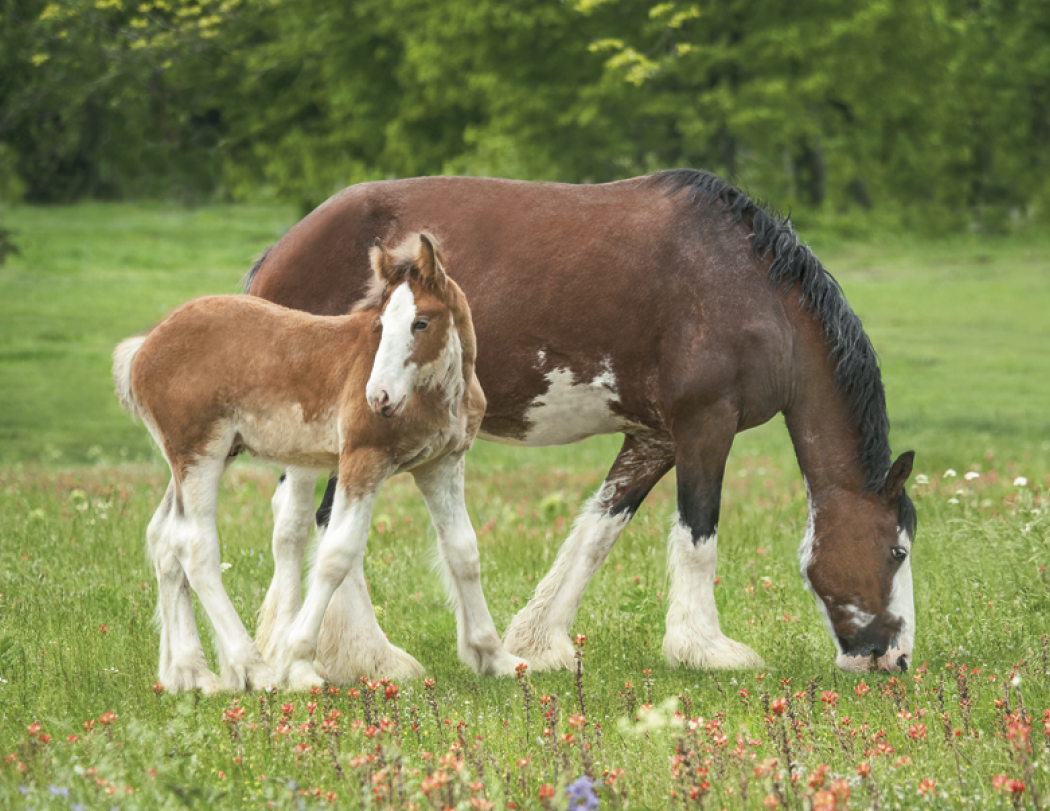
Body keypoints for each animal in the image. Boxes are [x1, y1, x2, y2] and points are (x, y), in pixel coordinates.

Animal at [114, 232, 523, 692]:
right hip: (201, 454)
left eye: (421, 323)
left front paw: (496, 657)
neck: (438, 393)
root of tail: (143, 347)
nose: (378, 397)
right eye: (381, 324)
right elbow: (336, 555)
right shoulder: (363, 460)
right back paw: (255, 670)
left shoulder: (441, 465)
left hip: (202, 459)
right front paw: (299, 665)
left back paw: (191, 675)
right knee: (194, 547)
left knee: (163, 537)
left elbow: (463, 550)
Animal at [245, 169, 918, 675]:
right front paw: (704, 649)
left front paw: (537, 642)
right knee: (329, 522)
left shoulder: (653, 439)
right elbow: (697, 534)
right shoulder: (705, 425)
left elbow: (599, 530)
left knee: (295, 521)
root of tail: (277, 252)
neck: (753, 290)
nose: (896, 657)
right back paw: (371, 656)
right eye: (897, 549)